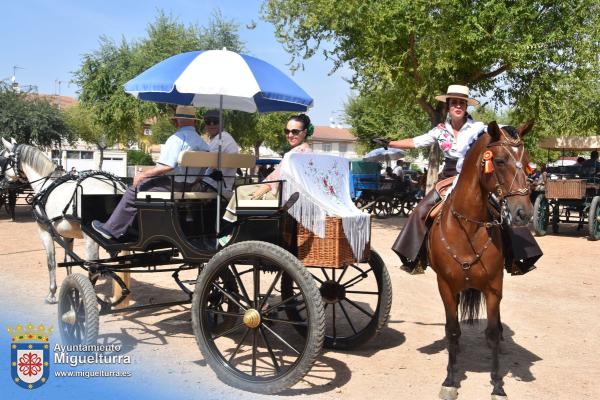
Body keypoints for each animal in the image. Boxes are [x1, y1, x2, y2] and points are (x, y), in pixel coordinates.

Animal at [1, 138, 125, 304]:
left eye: (3, 158)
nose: (2, 183)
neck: (46, 184)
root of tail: (114, 187)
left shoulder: (44, 231)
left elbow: (51, 262)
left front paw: (52, 294)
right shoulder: (68, 235)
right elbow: (68, 260)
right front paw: (70, 290)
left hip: (91, 240)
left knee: (93, 270)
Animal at [426, 121, 536, 400]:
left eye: (526, 162)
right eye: (499, 160)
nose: (524, 213)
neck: (468, 228)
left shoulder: (494, 287)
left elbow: (493, 332)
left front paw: (497, 384)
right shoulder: (446, 287)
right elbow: (452, 329)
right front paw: (450, 380)